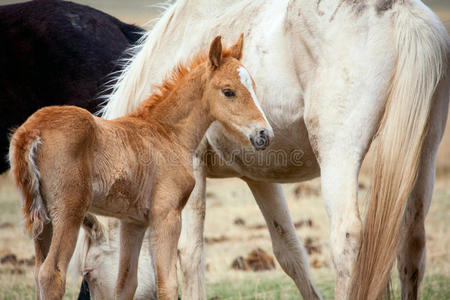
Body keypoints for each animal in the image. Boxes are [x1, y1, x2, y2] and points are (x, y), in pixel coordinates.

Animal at [8, 35, 272, 300]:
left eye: (253, 87)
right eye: (228, 91)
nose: (265, 134)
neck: (168, 134)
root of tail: (31, 131)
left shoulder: (133, 222)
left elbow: (126, 284)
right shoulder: (167, 213)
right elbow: (167, 284)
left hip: (44, 219)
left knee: (38, 272)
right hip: (69, 211)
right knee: (51, 274)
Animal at [100, 1, 448, 298]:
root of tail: (404, 15)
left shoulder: (192, 166)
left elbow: (190, 252)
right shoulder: (259, 177)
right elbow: (290, 252)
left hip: (339, 154)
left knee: (347, 238)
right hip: (424, 154)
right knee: (412, 240)